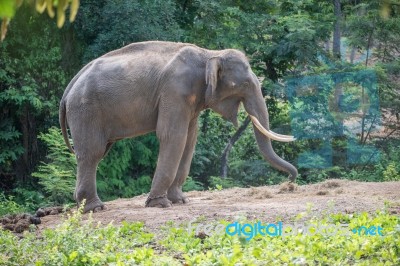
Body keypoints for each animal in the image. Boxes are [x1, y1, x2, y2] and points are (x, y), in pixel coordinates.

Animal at [59, 41, 296, 212]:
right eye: (244, 84)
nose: (290, 183)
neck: (209, 54)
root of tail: (70, 86)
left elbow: (190, 139)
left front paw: (180, 201)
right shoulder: (174, 91)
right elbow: (173, 136)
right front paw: (160, 204)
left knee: (96, 153)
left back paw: (84, 206)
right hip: (85, 109)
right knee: (92, 153)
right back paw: (94, 208)